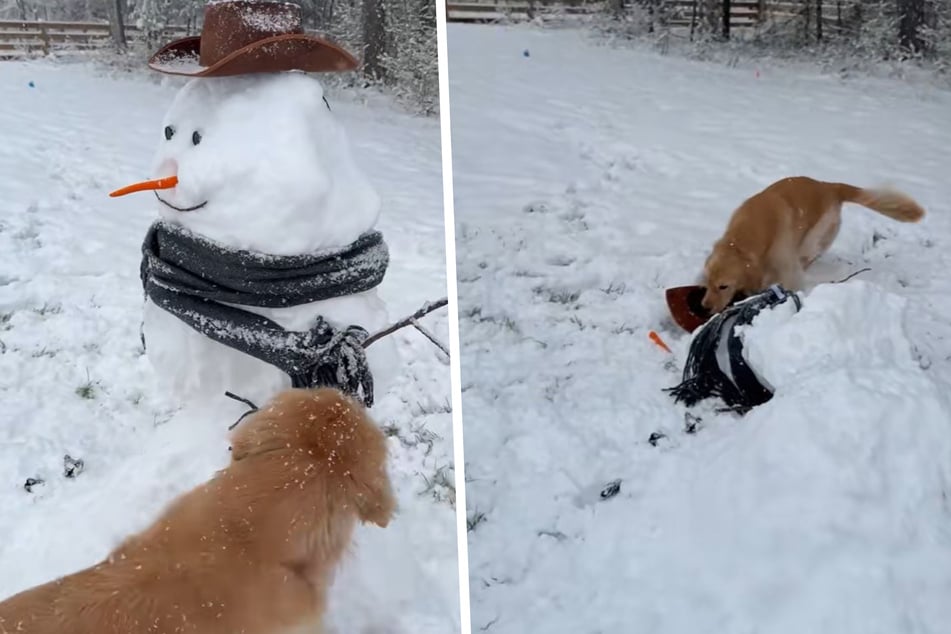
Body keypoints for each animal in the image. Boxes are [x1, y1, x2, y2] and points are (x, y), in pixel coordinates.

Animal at [704, 174, 924, 312]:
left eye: (724, 286)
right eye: (708, 282)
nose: (704, 307)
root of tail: (830, 186)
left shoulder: (786, 266)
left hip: (815, 237)